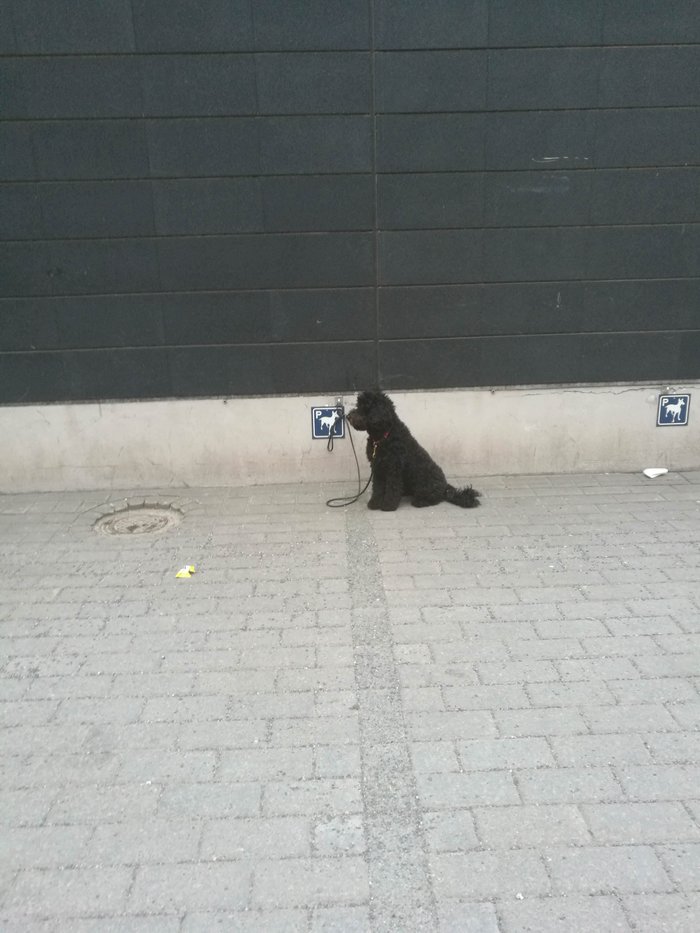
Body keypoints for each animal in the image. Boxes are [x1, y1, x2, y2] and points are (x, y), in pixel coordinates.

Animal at [346, 390, 482, 512]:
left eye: (364, 407)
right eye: (358, 405)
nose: (348, 416)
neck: (384, 436)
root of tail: (445, 487)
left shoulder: (394, 469)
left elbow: (392, 488)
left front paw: (388, 505)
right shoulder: (378, 468)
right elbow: (378, 488)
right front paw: (374, 503)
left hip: (424, 485)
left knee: (435, 498)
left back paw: (420, 501)